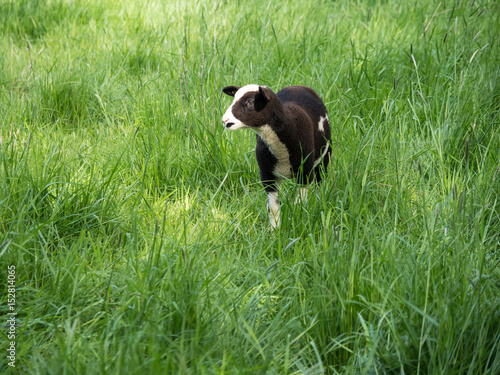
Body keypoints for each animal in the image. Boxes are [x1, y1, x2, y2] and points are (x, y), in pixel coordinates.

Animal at [223, 85, 332, 229]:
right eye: (234, 98)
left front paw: (298, 223)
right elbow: (274, 207)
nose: (225, 120)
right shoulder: (267, 174)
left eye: (250, 102)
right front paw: (275, 230)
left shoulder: (305, 173)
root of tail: (297, 86)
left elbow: (299, 204)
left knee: (321, 180)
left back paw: (321, 201)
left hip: (325, 154)